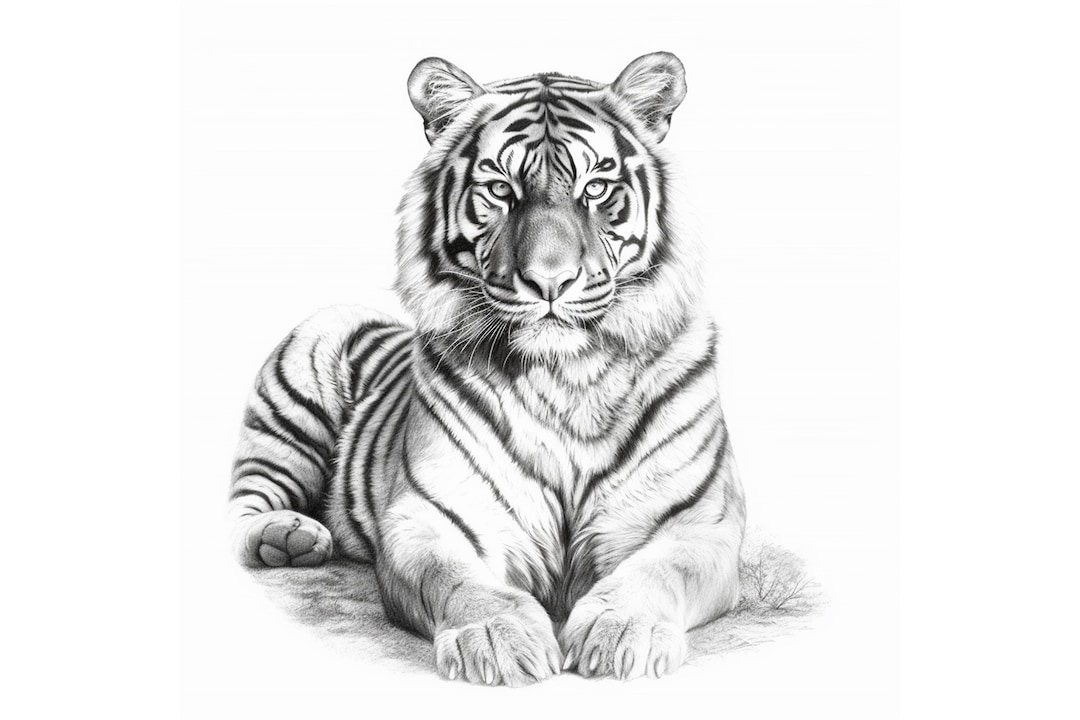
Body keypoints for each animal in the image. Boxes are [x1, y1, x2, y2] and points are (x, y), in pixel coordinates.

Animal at [229, 51, 746, 686]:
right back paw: (288, 538)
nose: (550, 280)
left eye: (596, 188)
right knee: (246, 499)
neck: (565, 377)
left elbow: (658, 571)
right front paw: (499, 640)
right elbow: (458, 581)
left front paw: (623, 633)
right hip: (293, 395)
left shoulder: (699, 521)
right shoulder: (431, 518)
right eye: (501, 189)